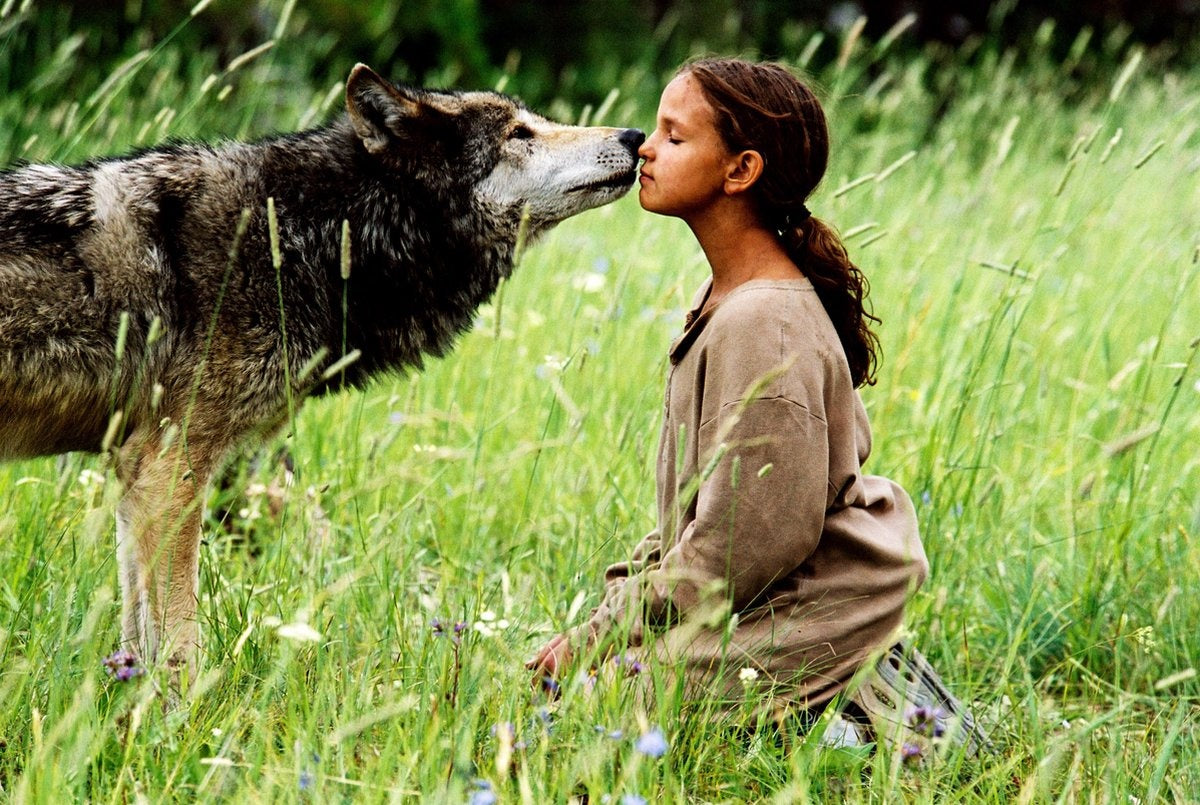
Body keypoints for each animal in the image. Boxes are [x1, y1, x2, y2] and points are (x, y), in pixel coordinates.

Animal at [0, 63, 643, 678]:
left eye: (535, 122)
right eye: (519, 134)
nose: (634, 136)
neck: (310, 231)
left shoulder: (136, 474)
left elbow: (136, 634)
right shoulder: (170, 470)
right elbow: (181, 642)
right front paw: (183, 714)